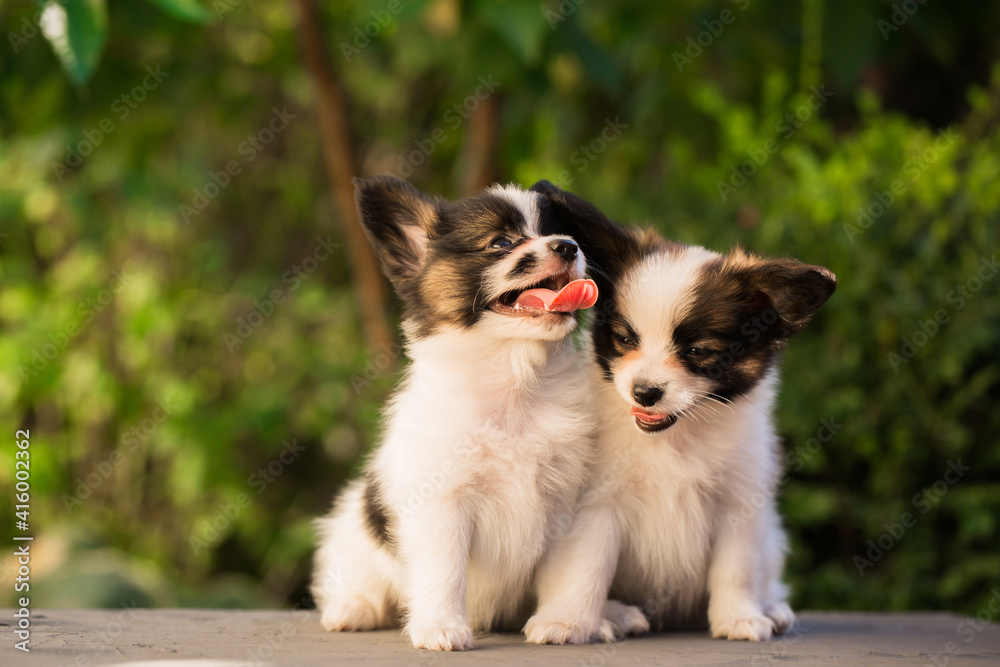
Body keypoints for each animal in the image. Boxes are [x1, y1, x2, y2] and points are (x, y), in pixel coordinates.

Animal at [310, 176, 600, 652]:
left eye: (559, 232)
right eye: (501, 243)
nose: (568, 246)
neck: (514, 383)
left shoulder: (574, 501)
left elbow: (574, 571)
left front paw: (566, 622)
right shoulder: (440, 500)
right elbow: (443, 568)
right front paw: (440, 627)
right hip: (353, 527)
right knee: (360, 576)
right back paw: (353, 608)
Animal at [524, 185, 836, 644]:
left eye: (699, 352)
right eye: (625, 339)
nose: (645, 392)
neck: (676, 438)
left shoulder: (739, 502)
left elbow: (736, 569)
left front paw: (739, 617)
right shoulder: (596, 504)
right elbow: (586, 566)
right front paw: (567, 620)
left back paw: (773, 608)